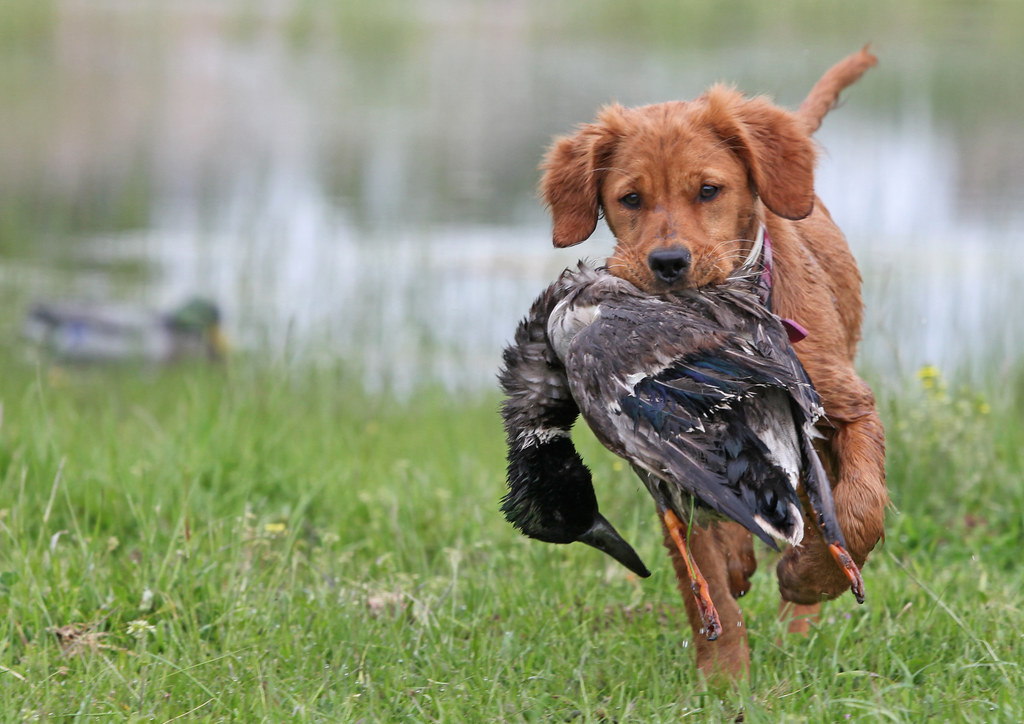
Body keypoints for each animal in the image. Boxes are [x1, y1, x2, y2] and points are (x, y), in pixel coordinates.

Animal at [536, 48, 888, 675]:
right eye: (630, 198)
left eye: (708, 190)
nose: (668, 262)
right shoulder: (666, 461)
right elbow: (702, 575)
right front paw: (724, 678)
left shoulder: (847, 407)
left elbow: (859, 510)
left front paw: (808, 579)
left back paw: (800, 613)